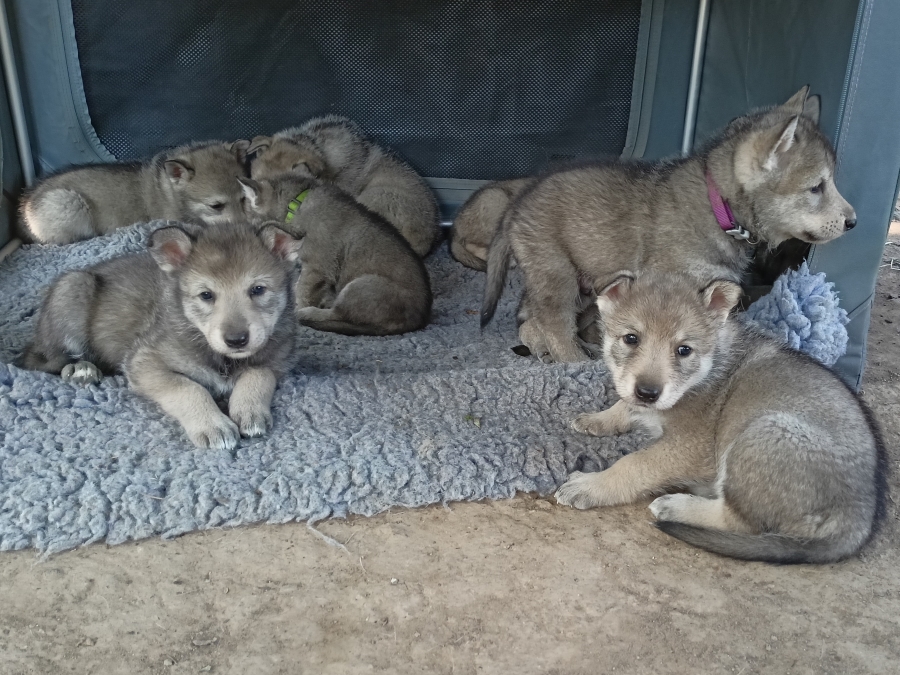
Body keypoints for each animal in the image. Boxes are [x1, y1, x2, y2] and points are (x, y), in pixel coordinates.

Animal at [19, 221, 301, 450]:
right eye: (206, 295)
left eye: (258, 289)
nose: (236, 340)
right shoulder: (144, 362)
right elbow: (188, 388)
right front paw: (213, 425)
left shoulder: (277, 362)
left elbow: (258, 375)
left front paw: (249, 410)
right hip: (73, 289)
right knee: (44, 360)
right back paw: (81, 369)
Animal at [239, 173, 432, 336]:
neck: (296, 203)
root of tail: (417, 321)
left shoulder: (316, 267)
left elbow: (302, 290)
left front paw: (296, 309)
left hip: (360, 285)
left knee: (338, 314)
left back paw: (309, 313)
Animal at [481, 87, 857, 363]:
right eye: (816, 187)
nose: (853, 222)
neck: (719, 206)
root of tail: (518, 201)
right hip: (558, 276)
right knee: (553, 324)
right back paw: (573, 360)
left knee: (530, 318)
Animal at [554, 271, 884, 564]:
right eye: (631, 338)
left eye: (684, 350)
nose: (648, 392)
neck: (706, 370)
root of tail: (859, 518)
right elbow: (624, 406)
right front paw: (596, 419)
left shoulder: (689, 448)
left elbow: (634, 464)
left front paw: (591, 486)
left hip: (762, 433)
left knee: (740, 521)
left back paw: (677, 506)